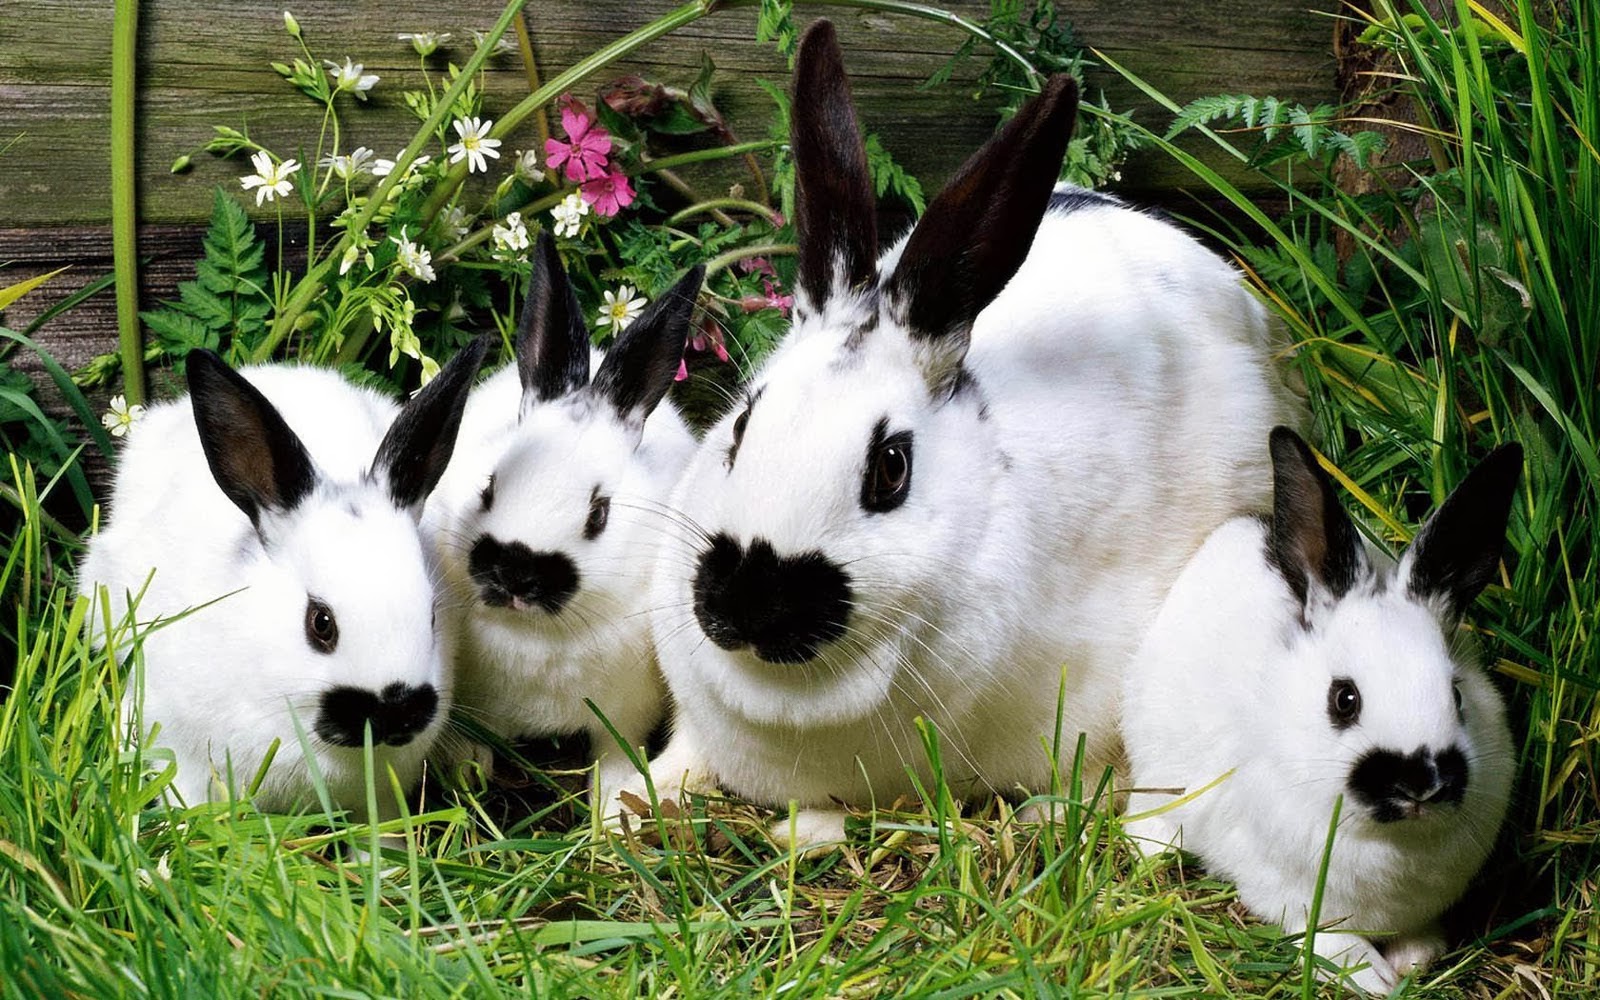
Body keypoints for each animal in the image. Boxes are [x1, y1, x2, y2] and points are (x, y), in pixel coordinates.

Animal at [421, 233, 702, 820]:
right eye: (489, 486)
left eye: (599, 513)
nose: (515, 573)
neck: (536, 635)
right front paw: (467, 774)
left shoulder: (624, 710)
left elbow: (615, 753)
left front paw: (614, 813)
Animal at [1121, 427, 1521, 993]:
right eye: (1344, 699)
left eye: (1458, 695)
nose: (1419, 783)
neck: (1390, 841)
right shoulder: (1288, 893)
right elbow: (1329, 940)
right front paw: (1375, 980)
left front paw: (1415, 959)